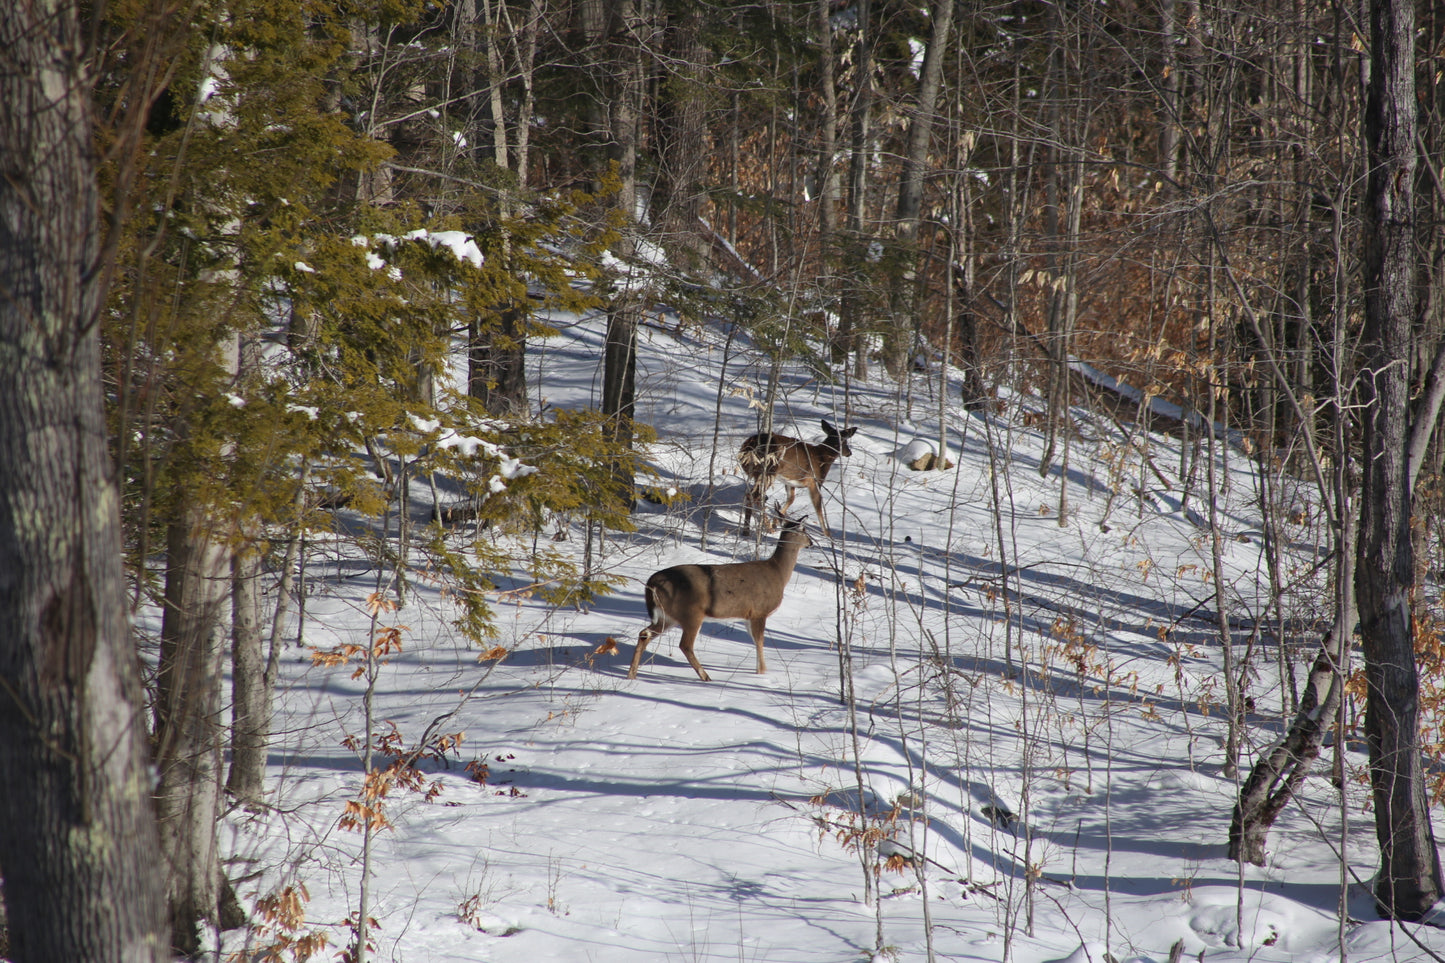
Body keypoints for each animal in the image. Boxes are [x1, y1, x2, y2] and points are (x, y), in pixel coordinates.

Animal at [628, 516, 813, 682]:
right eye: (804, 530)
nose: (811, 543)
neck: (778, 573)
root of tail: (652, 582)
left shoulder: (747, 616)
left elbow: (755, 641)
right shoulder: (759, 611)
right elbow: (760, 641)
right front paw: (761, 672)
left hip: (668, 616)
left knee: (644, 634)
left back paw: (632, 675)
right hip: (691, 613)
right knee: (685, 644)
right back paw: (706, 677)